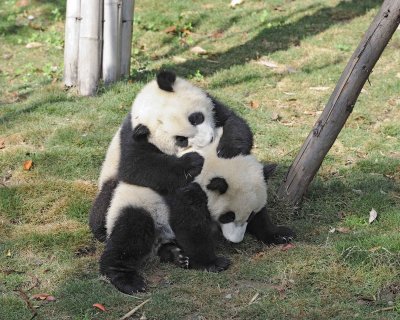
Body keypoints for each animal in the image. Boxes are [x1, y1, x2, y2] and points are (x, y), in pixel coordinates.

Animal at [90, 72, 253, 242]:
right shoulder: (132, 138)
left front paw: (228, 150)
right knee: (106, 199)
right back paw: (100, 229)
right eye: (181, 140)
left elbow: (233, 121)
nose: (209, 139)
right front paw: (193, 162)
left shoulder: (214, 105)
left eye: (196, 118)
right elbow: (136, 166)